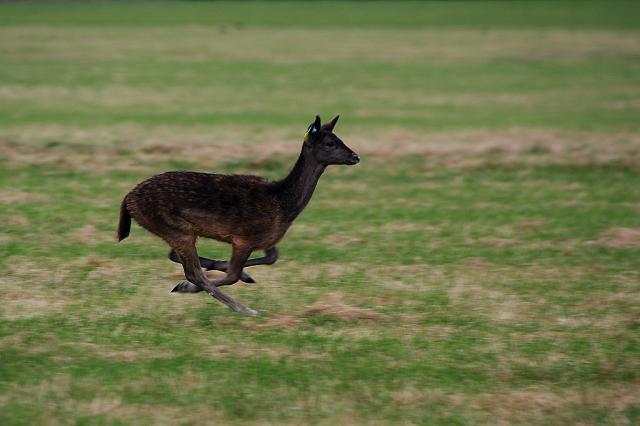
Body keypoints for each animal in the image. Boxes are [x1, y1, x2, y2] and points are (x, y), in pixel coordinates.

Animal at [117, 116, 358, 316]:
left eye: (339, 138)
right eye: (330, 143)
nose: (356, 156)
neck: (283, 204)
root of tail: (128, 200)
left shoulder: (266, 238)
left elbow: (272, 257)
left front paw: (241, 273)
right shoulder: (245, 237)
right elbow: (233, 274)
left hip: (177, 230)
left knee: (175, 255)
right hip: (174, 227)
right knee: (194, 273)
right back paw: (240, 307)